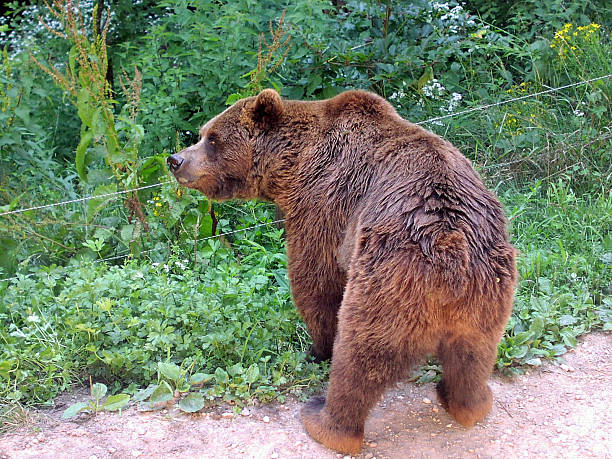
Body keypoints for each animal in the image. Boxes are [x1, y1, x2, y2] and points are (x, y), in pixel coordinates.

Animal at [166, 88, 516, 454]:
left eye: (212, 139)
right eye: (203, 133)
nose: (175, 160)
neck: (292, 166)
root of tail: (451, 251)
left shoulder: (321, 203)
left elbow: (315, 283)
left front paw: (315, 349)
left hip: (387, 280)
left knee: (359, 354)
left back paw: (325, 421)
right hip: (489, 294)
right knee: (473, 359)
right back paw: (467, 402)